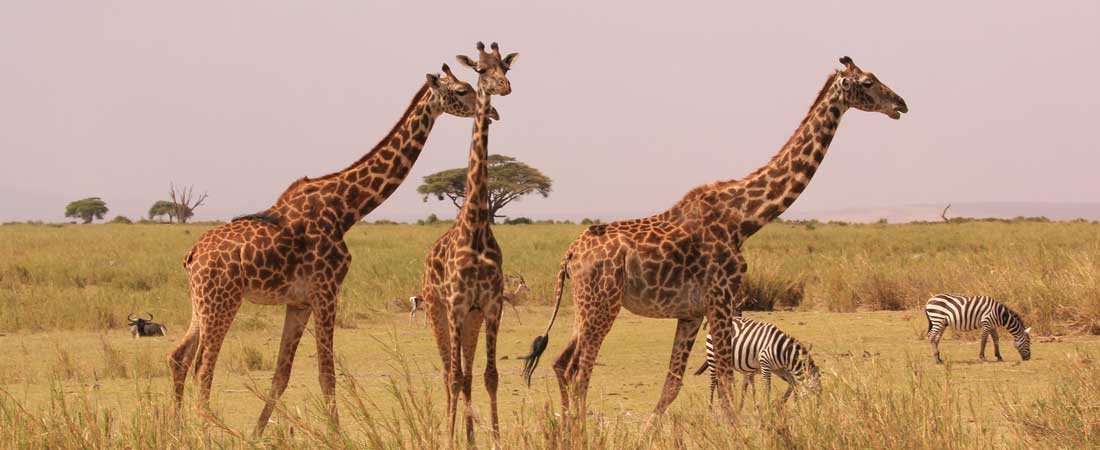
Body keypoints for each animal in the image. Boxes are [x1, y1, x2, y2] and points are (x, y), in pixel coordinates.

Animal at [167, 65, 490, 435]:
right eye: (463, 90)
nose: (489, 111)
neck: (346, 208)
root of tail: (191, 256)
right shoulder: (326, 290)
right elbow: (327, 374)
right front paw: (336, 434)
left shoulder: (299, 301)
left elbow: (282, 374)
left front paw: (259, 433)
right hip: (222, 302)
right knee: (202, 369)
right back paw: (214, 431)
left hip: (201, 304)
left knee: (178, 357)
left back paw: (178, 431)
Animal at [690, 314, 822, 407]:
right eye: (814, 390)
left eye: (820, 391)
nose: (817, 411)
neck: (783, 351)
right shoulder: (765, 363)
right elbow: (767, 387)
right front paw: (769, 408)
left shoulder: (779, 369)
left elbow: (792, 384)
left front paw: (785, 404)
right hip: (712, 356)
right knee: (713, 383)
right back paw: (711, 409)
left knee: (720, 382)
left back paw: (723, 404)